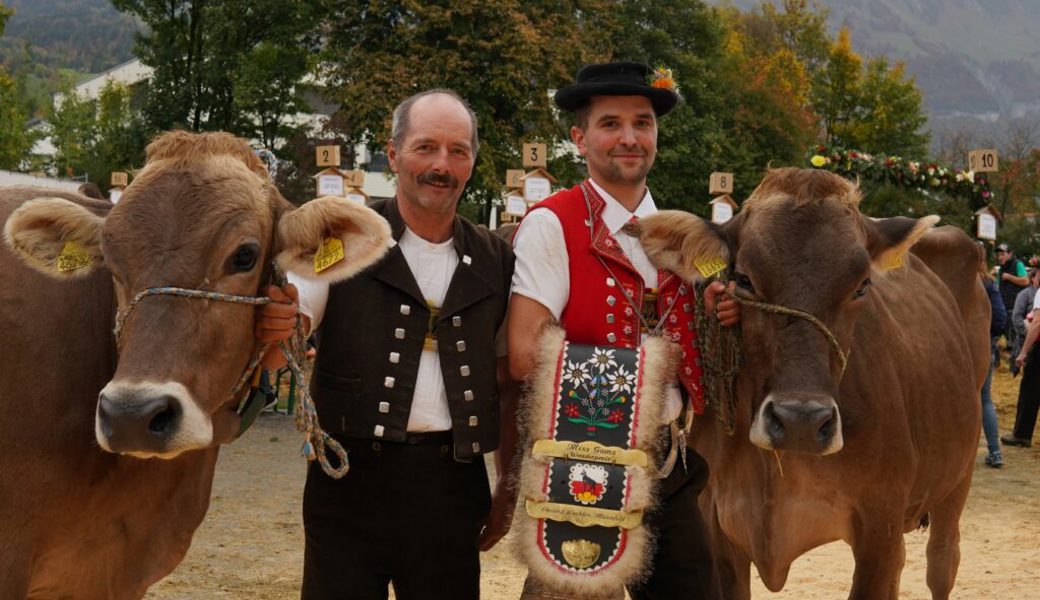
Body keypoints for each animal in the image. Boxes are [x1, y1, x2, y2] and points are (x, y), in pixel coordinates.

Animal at [636, 167, 985, 598]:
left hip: (959, 474)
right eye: (743, 279)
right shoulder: (717, 527)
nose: (800, 422)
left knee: (942, 561)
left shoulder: (880, 526)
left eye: (862, 285)